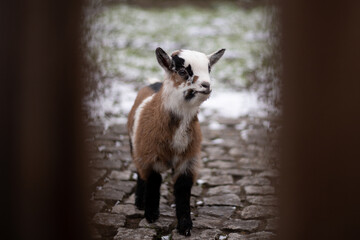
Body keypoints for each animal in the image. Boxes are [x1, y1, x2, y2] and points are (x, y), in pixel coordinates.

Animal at [126, 47, 225, 236]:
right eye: (182, 71)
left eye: (209, 69)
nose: (206, 86)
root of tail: (154, 83)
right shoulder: (149, 156)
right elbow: (153, 181)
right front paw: (151, 215)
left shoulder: (189, 159)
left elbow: (183, 188)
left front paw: (185, 226)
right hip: (134, 146)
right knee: (140, 171)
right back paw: (140, 201)